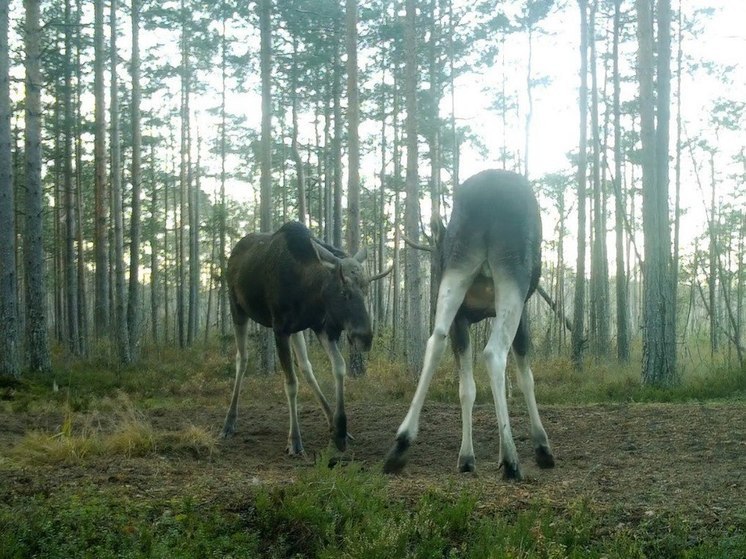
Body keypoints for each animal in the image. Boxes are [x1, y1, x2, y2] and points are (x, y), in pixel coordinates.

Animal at [219, 220, 384, 456]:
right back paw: (229, 422)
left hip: (296, 330)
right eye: (344, 291)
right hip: (238, 309)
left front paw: (341, 430)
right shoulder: (280, 329)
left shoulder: (320, 326)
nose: (365, 338)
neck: (308, 292)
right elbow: (291, 384)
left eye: (367, 289)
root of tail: (233, 252)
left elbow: (339, 367)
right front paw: (295, 439)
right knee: (242, 360)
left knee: (306, 366)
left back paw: (332, 422)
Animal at [384, 168, 552, 480]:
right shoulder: (523, 309)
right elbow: (526, 377)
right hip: (513, 274)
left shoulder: (463, 317)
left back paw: (401, 445)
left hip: (456, 271)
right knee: (494, 354)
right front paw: (540, 446)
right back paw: (511, 459)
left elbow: (467, 388)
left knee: (435, 340)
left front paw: (467, 457)